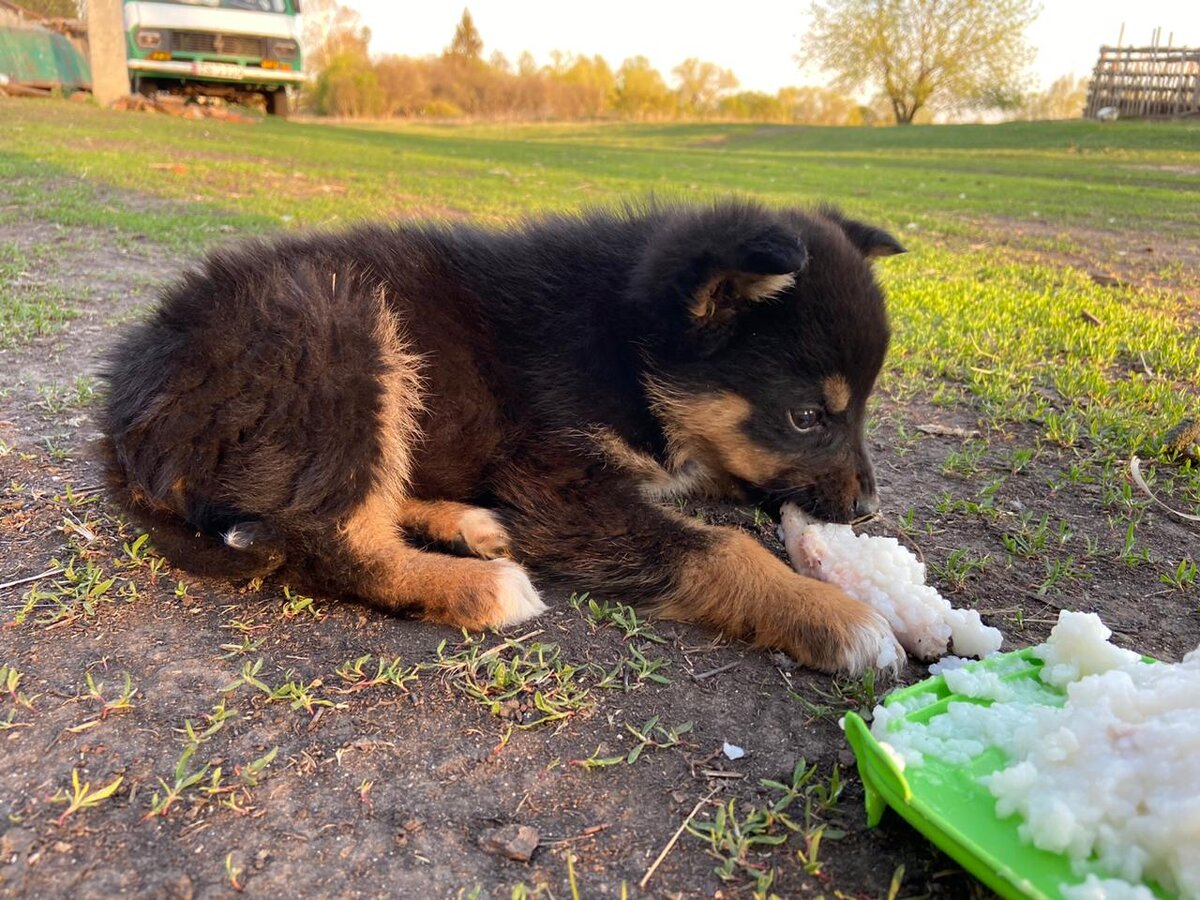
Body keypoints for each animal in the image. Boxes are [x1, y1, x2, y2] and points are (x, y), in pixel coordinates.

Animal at [103, 199, 902, 676]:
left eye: (861, 407)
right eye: (807, 416)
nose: (866, 511)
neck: (629, 344)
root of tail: (124, 421)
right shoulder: (560, 487)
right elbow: (726, 548)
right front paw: (837, 617)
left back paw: (470, 525)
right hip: (341, 329)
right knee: (333, 540)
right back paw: (478, 586)